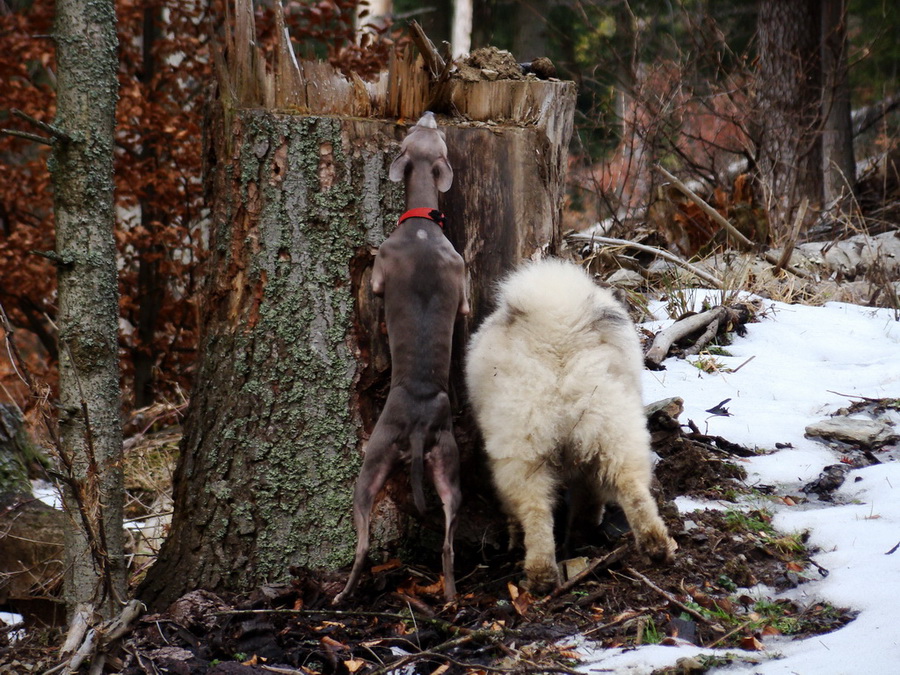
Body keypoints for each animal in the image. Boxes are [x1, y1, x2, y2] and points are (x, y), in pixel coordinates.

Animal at [468, 258, 672, 592]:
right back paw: (655, 546)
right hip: (615, 430)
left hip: (523, 450)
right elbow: (589, 494)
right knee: (632, 489)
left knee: (535, 510)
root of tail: (560, 339)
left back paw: (540, 575)